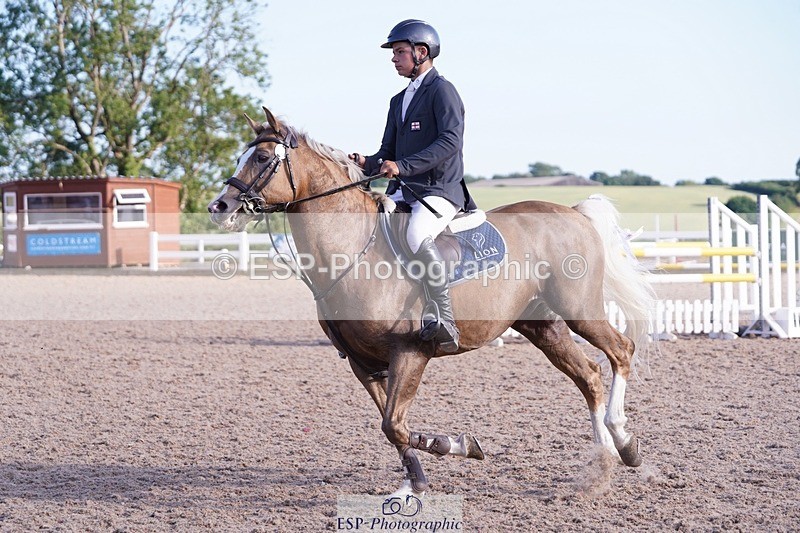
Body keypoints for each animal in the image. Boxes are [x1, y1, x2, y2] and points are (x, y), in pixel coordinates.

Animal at [208, 107, 655, 498]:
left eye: (262, 157)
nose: (219, 208)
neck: (353, 251)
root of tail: (574, 213)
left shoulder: (410, 350)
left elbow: (394, 424)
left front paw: (454, 446)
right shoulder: (363, 363)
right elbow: (393, 426)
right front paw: (421, 477)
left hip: (579, 311)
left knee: (620, 351)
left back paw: (621, 440)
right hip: (541, 325)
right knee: (589, 376)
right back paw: (606, 462)